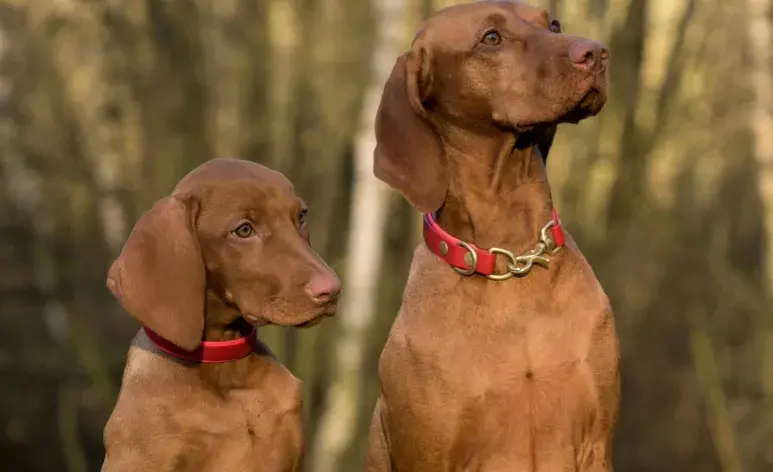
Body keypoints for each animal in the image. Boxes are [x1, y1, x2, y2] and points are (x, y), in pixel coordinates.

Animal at [364, 1, 620, 470]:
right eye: (491, 39)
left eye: (552, 23)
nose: (596, 52)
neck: (513, 256)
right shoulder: (430, 454)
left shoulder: (596, 442)